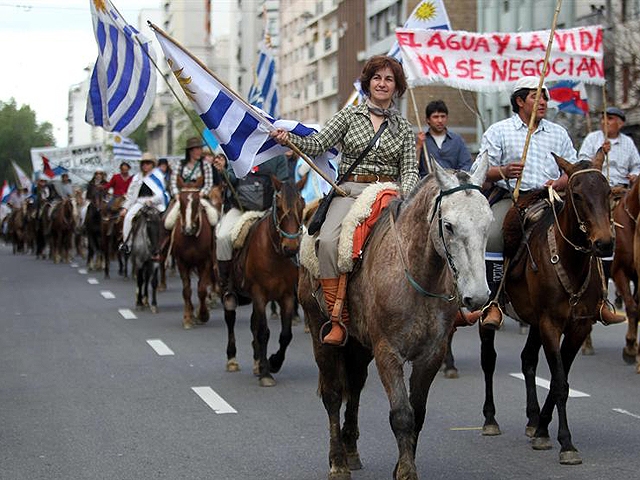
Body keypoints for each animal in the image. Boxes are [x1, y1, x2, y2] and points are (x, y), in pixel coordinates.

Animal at [172, 187, 220, 330]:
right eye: (181, 203)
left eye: (197, 202)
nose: (188, 229)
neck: (191, 239)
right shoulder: (181, 262)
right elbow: (186, 290)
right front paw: (188, 318)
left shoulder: (206, 262)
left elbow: (202, 289)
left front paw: (203, 315)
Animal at [224, 176, 306, 386]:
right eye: (279, 205)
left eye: (302, 205)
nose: (291, 248)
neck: (275, 255)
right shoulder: (259, 294)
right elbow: (263, 332)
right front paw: (266, 373)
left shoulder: (286, 296)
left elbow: (285, 334)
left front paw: (273, 362)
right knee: (230, 317)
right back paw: (232, 360)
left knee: (254, 323)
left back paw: (257, 363)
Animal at [298, 158, 490, 480]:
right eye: (448, 225)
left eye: (488, 223)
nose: (477, 297)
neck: (417, 274)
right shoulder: (388, 352)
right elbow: (401, 414)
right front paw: (406, 471)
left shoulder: (431, 355)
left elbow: (418, 413)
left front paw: (402, 463)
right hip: (318, 332)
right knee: (333, 394)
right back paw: (338, 462)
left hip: (359, 343)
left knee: (355, 385)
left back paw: (351, 451)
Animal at [482, 157, 612, 464]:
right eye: (577, 194)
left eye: (609, 192)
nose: (604, 243)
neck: (570, 262)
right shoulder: (551, 324)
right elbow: (560, 382)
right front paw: (566, 444)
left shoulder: (577, 327)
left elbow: (557, 380)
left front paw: (542, 429)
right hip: (487, 313)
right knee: (489, 360)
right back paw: (490, 419)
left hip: (534, 322)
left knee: (528, 359)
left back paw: (532, 420)